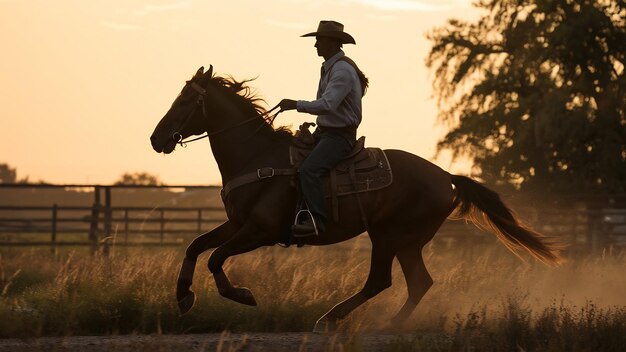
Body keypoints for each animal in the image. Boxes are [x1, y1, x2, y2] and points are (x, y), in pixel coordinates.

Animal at [147, 66, 560, 332]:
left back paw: (341, 321)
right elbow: (196, 246)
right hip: (403, 241)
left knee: (384, 281)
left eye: (184, 100)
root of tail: (446, 177)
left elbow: (215, 258)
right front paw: (183, 297)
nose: (155, 138)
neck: (256, 156)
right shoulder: (237, 224)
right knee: (415, 283)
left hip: (392, 236)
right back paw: (373, 323)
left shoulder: (260, 231)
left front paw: (243, 295)